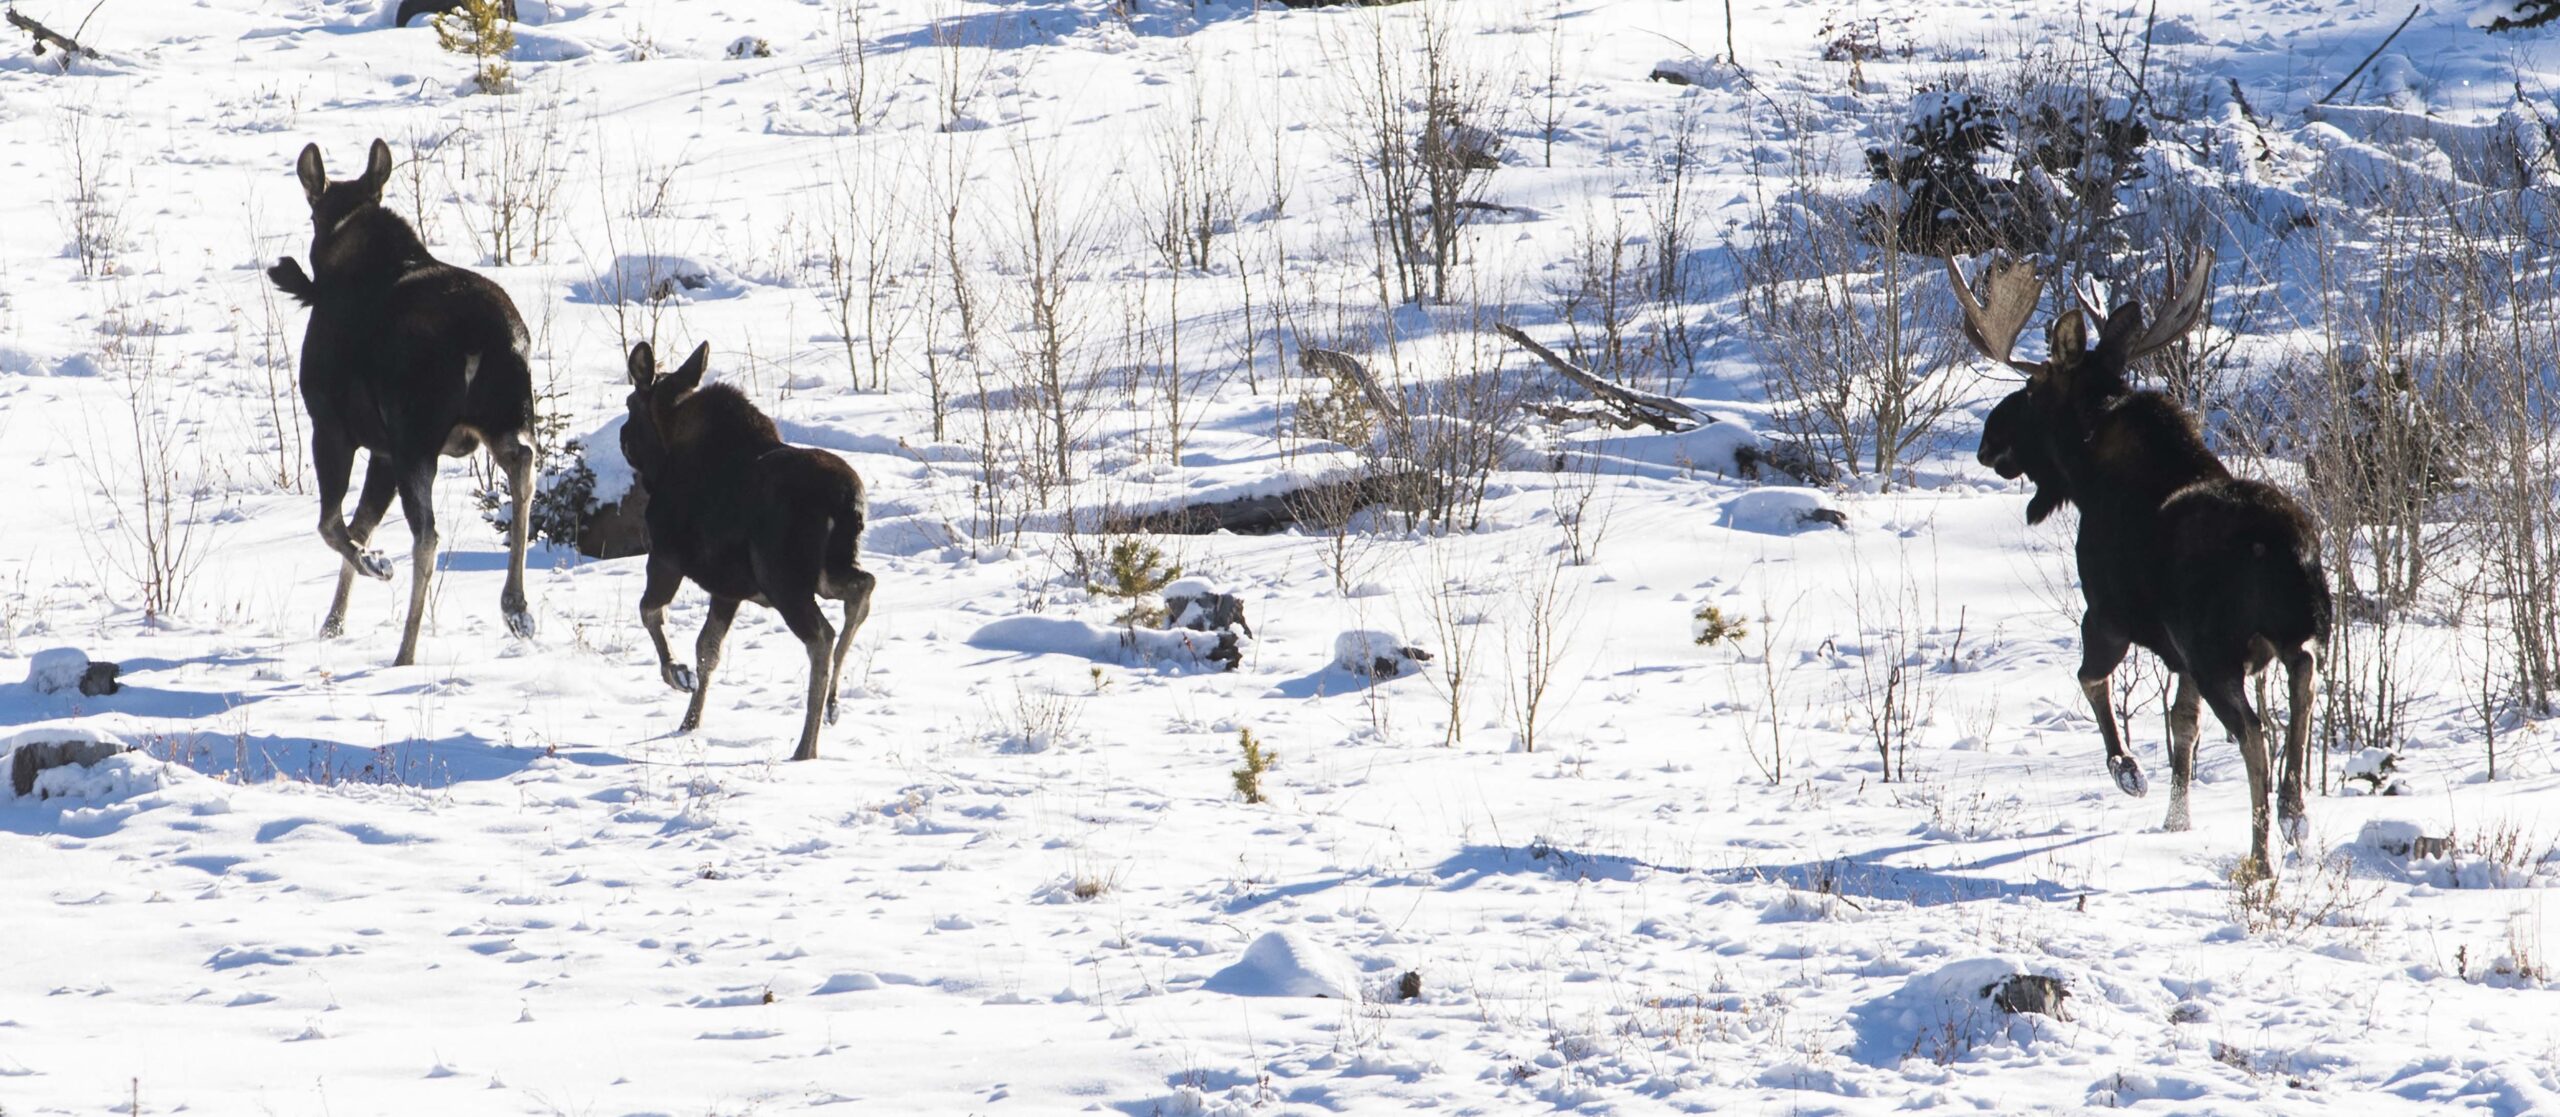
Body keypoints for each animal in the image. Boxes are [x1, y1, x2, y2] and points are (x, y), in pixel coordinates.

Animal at [268, 139, 536, 667]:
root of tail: (485, 338)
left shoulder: (336, 428)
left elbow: (333, 525)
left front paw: (375, 565)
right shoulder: (384, 449)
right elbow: (360, 523)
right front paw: (333, 624)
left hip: (417, 437)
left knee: (427, 536)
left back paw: (405, 652)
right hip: (504, 418)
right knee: (524, 467)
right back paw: (516, 607)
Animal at [620, 341, 877, 762]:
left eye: (629, 404)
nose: (623, 436)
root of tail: (846, 501)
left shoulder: (665, 558)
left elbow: (650, 612)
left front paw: (677, 674)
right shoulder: (727, 589)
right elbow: (707, 650)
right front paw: (689, 723)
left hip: (783, 579)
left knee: (820, 636)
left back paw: (806, 747)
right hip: (828, 569)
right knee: (863, 587)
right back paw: (833, 706)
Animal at [1951, 249, 2333, 879]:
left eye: (2030, 386)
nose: (1988, 441)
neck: (2084, 480)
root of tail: (2285, 550)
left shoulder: (2107, 613)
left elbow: (2090, 678)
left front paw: (2128, 771)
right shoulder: (2179, 654)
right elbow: (2183, 725)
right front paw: (2176, 820)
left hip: (2216, 647)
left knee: (2256, 732)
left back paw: (2260, 856)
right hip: (2299, 627)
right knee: (2303, 678)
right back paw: (2294, 813)